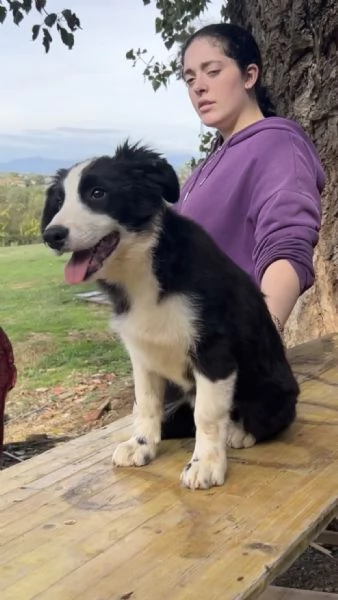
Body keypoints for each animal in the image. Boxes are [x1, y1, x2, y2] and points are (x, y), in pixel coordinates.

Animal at [41, 143, 298, 490]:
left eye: (98, 193)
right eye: (58, 202)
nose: (51, 234)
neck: (146, 266)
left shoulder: (213, 351)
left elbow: (207, 414)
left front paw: (206, 464)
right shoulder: (143, 352)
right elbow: (146, 403)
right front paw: (142, 445)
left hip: (273, 391)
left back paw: (240, 432)